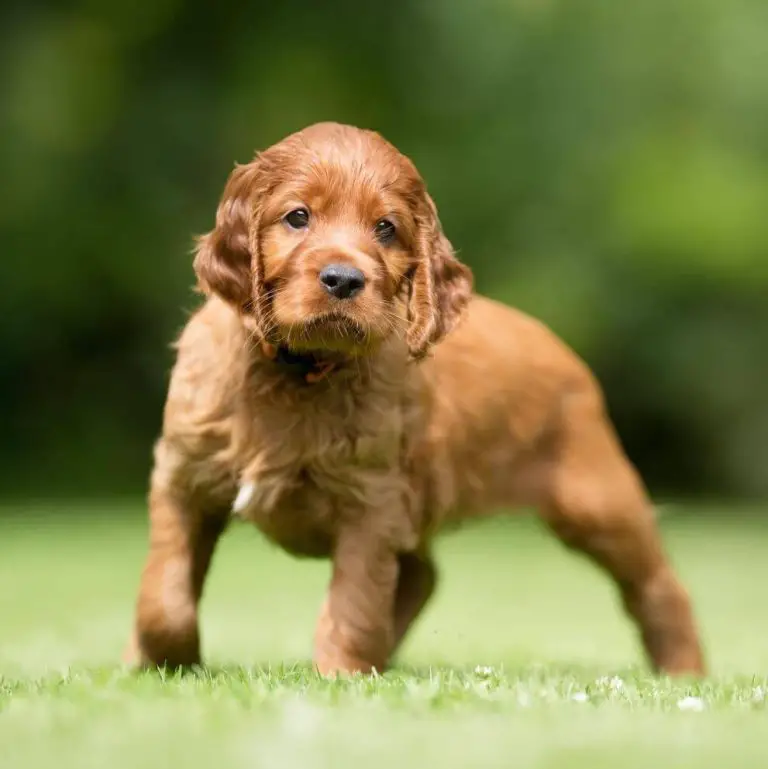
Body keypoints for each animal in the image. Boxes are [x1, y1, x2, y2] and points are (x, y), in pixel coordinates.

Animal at [127, 118, 708, 672]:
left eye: (386, 228)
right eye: (297, 217)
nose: (343, 280)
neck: (297, 371)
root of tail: (557, 344)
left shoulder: (371, 505)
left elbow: (354, 602)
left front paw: (340, 676)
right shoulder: (183, 479)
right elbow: (164, 595)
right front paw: (156, 660)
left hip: (596, 500)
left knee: (658, 584)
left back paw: (684, 669)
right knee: (422, 574)